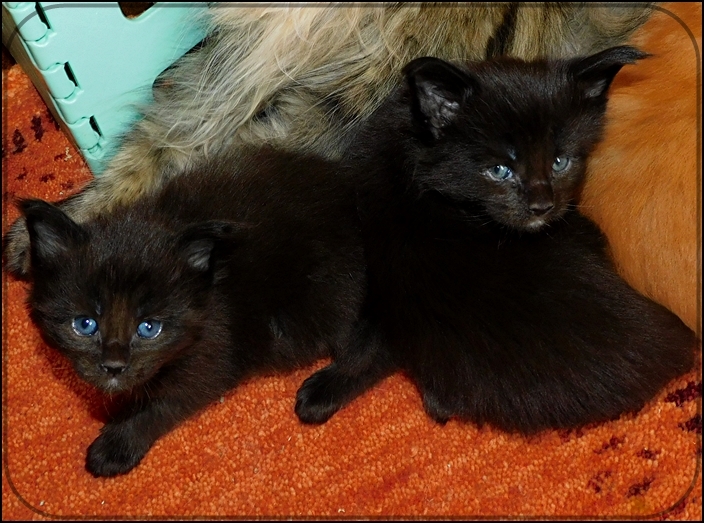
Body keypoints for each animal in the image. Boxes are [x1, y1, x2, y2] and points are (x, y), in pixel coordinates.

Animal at [16, 148, 366, 477]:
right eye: (85, 324)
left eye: (148, 328)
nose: (114, 366)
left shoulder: (216, 348)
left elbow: (165, 403)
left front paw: (117, 444)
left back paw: (325, 391)